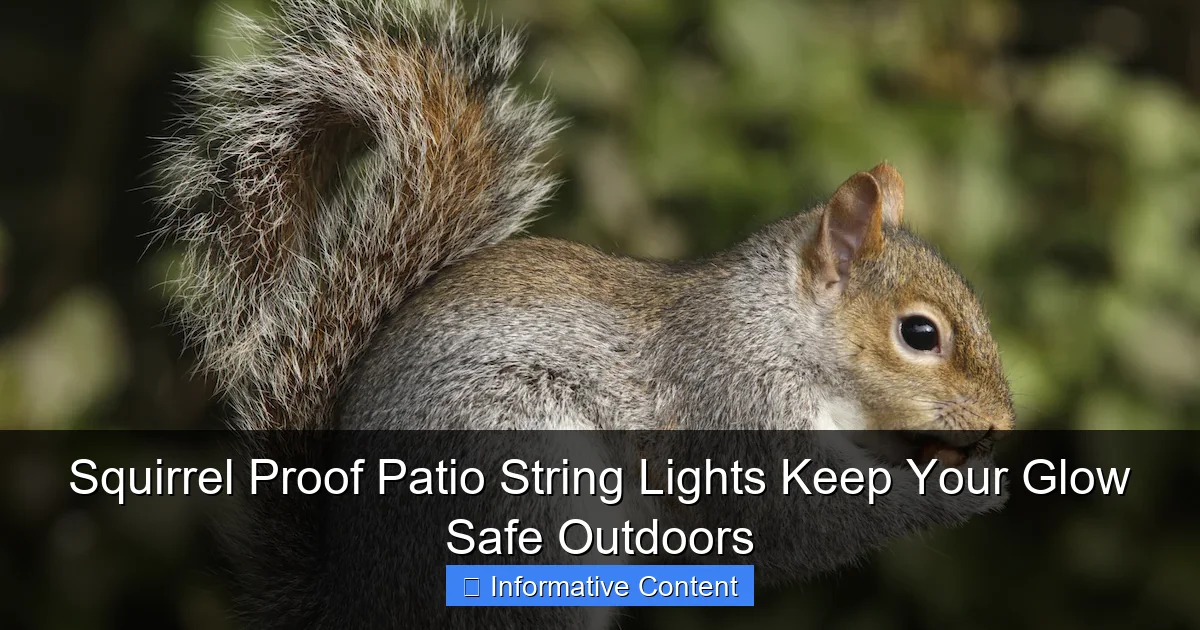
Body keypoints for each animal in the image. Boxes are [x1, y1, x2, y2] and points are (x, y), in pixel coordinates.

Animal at [155, 0, 1014, 627]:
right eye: (919, 334)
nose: (1003, 423)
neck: (777, 330)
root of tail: (355, 602)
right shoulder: (729, 406)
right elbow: (800, 521)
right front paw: (965, 490)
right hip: (525, 497)